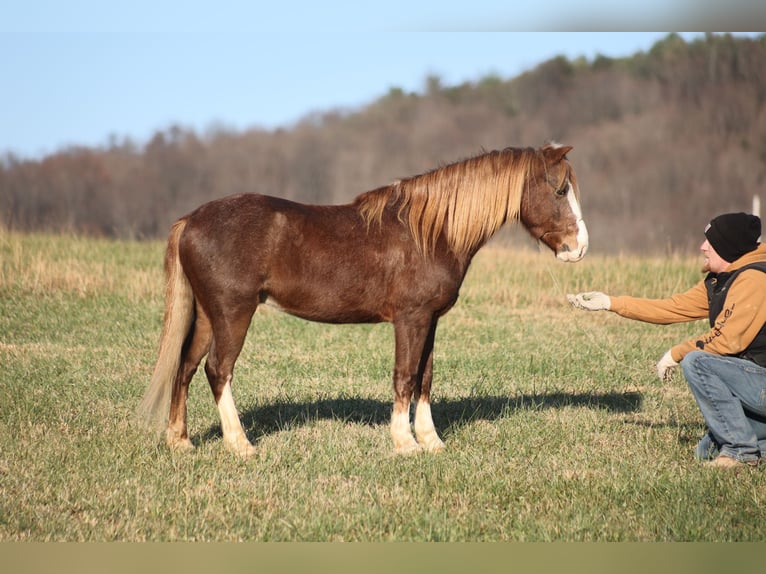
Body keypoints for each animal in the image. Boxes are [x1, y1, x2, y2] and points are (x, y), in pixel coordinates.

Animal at [139, 143, 588, 457]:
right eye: (561, 189)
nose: (579, 247)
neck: (431, 231)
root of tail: (190, 220)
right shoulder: (410, 319)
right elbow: (404, 376)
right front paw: (405, 443)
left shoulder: (431, 320)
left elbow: (425, 377)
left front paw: (431, 441)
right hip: (233, 312)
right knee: (218, 370)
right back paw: (240, 444)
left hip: (206, 314)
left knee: (186, 365)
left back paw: (180, 441)